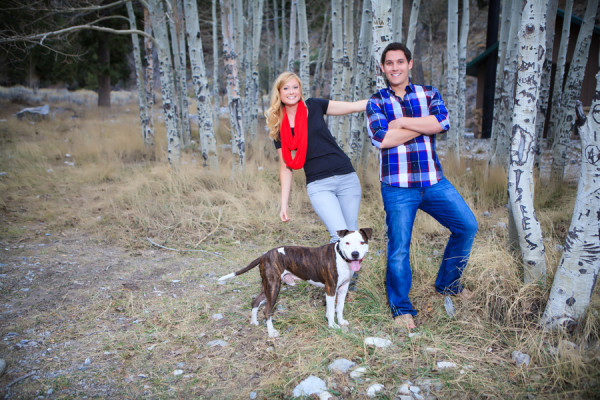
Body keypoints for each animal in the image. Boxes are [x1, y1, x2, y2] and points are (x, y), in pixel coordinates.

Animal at [218, 228, 372, 338]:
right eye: (347, 243)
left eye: (362, 242)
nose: (355, 254)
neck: (341, 256)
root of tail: (264, 255)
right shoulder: (330, 289)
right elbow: (330, 309)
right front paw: (332, 325)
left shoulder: (343, 288)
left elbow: (339, 307)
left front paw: (340, 321)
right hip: (274, 287)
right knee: (267, 310)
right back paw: (271, 332)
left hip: (267, 286)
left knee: (255, 301)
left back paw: (254, 321)